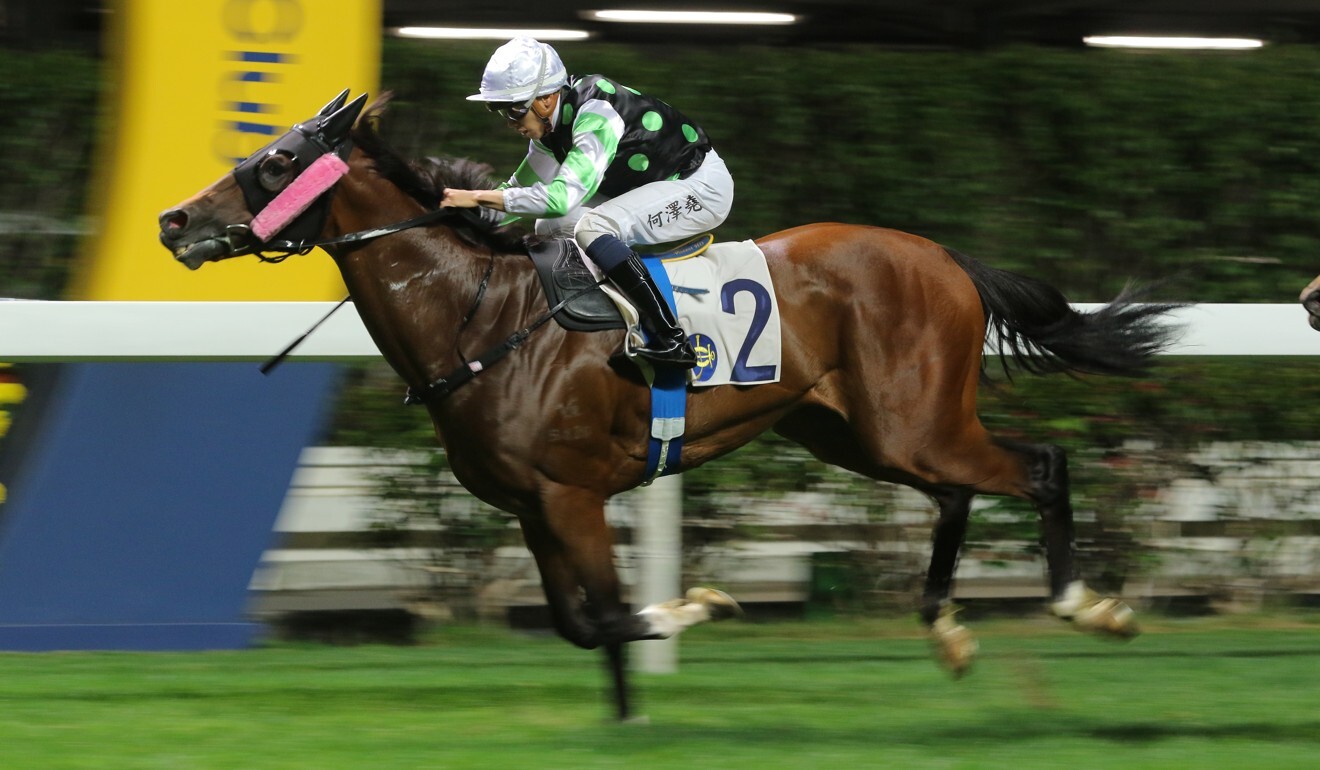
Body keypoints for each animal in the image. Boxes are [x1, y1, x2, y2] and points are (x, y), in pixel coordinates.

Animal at [159, 91, 1182, 723]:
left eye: (278, 160)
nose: (174, 221)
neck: (479, 314)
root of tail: (942, 257)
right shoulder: (534, 505)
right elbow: (582, 624)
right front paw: (628, 713)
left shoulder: (571, 495)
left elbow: (614, 616)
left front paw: (701, 605)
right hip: (854, 431)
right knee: (958, 493)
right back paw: (950, 631)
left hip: (911, 422)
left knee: (1040, 466)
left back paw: (1090, 608)